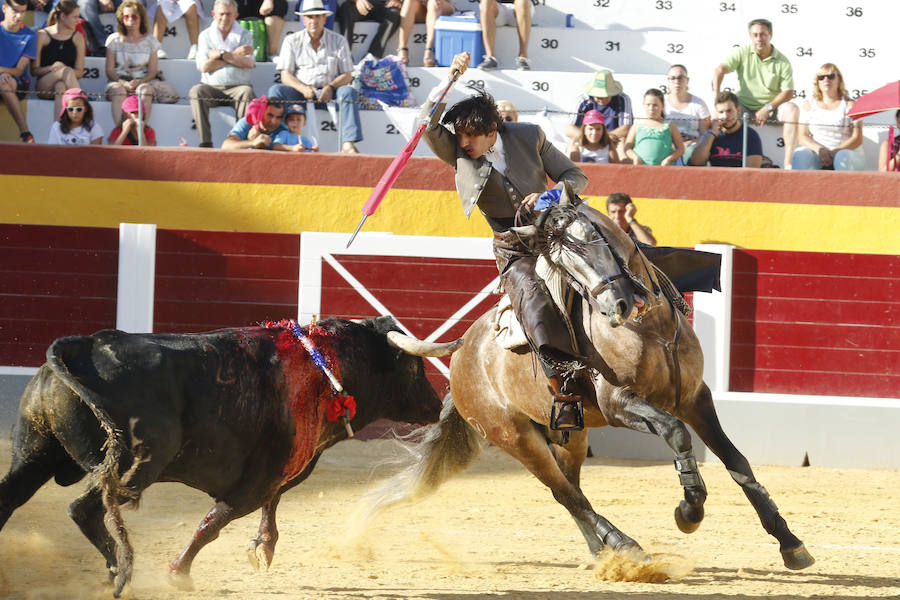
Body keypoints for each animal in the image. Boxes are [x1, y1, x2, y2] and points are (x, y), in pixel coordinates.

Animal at [0, 316, 460, 596]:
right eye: (414, 367)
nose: (436, 405)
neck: (326, 368)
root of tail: (84, 346)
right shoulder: (257, 479)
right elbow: (215, 521)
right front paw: (178, 574)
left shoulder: (282, 466)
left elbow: (271, 502)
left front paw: (263, 547)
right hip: (136, 467)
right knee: (84, 509)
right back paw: (120, 572)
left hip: (32, 457)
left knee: (10, 498)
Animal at [356, 189, 816, 572]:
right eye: (561, 263)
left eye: (596, 240)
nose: (620, 304)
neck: (651, 327)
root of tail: (464, 352)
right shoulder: (619, 404)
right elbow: (676, 433)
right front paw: (689, 512)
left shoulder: (696, 397)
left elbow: (737, 461)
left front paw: (790, 543)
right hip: (513, 436)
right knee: (564, 492)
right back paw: (627, 547)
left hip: (569, 433)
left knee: (572, 488)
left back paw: (603, 552)